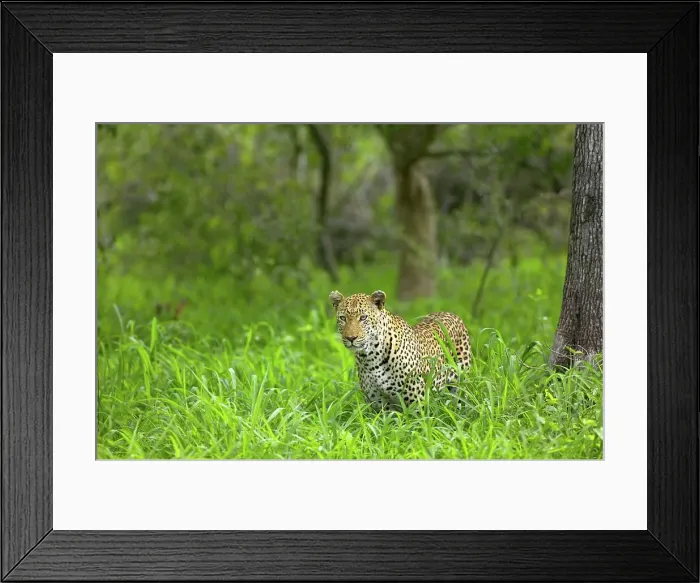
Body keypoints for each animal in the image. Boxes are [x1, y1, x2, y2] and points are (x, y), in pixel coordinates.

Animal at [329, 289, 472, 410]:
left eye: (363, 317)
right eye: (343, 318)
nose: (351, 337)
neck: (370, 358)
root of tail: (452, 314)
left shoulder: (417, 403)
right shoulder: (380, 406)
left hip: (461, 384)